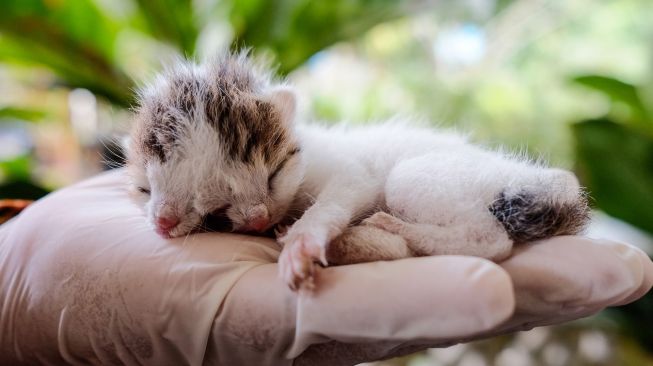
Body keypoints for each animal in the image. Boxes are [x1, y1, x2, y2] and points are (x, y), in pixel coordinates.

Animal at [125, 52, 588, 292]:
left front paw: (302, 243)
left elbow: (335, 199)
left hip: (421, 179)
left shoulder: (349, 174)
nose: (259, 218)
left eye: (274, 175)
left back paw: (393, 229)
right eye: (145, 189)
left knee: (491, 240)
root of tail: (557, 188)